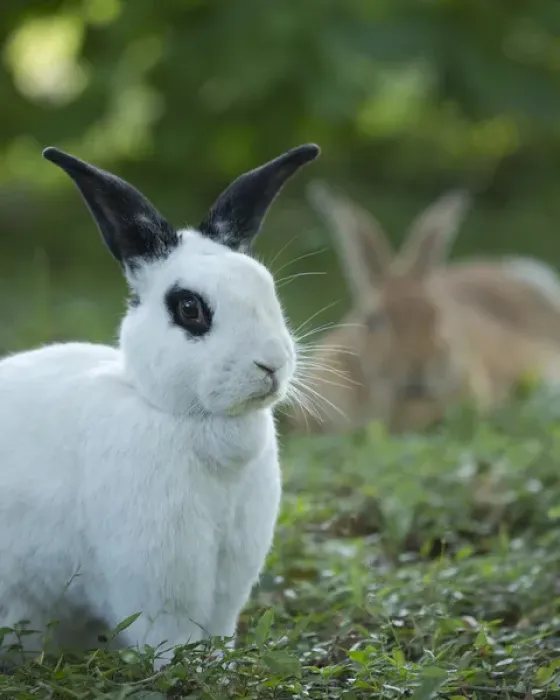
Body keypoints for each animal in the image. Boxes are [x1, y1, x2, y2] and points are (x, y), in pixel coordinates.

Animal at [0, 142, 320, 668]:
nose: (271, 364)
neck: (189, 420)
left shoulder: (228, 579)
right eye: (190, 309)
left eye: (267, 289)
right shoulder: (156, 579)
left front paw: (220, 664)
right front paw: (190, 669)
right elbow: (170, 637)